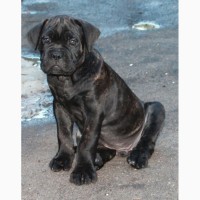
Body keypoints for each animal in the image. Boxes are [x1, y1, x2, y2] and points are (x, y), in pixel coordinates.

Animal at [27, 15, 165, 186]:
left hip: (156, 109)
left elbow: (87, 142)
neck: (68, 79)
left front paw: (83, 171)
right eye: (46, 39)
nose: (56, 55)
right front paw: (63, 158)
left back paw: (137, 157)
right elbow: (63, 134)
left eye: (73, 41)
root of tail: (123, 149)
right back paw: (97, 159)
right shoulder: (59, 106)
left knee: (147, 140)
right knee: (106, 150)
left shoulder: (93, 110)